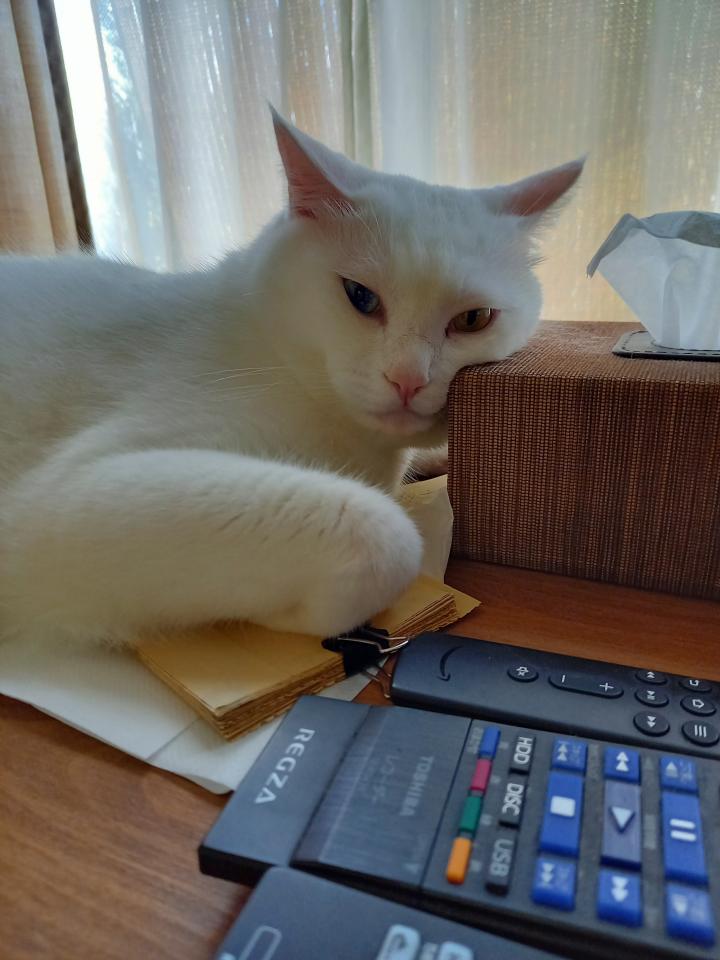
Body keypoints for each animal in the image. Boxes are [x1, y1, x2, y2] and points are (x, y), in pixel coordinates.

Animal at [0, 109, 582, 647]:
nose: (407, 379)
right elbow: (384, 532)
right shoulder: (72, 496)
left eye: (473, 320)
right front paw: (285, 616)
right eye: (360, 296)